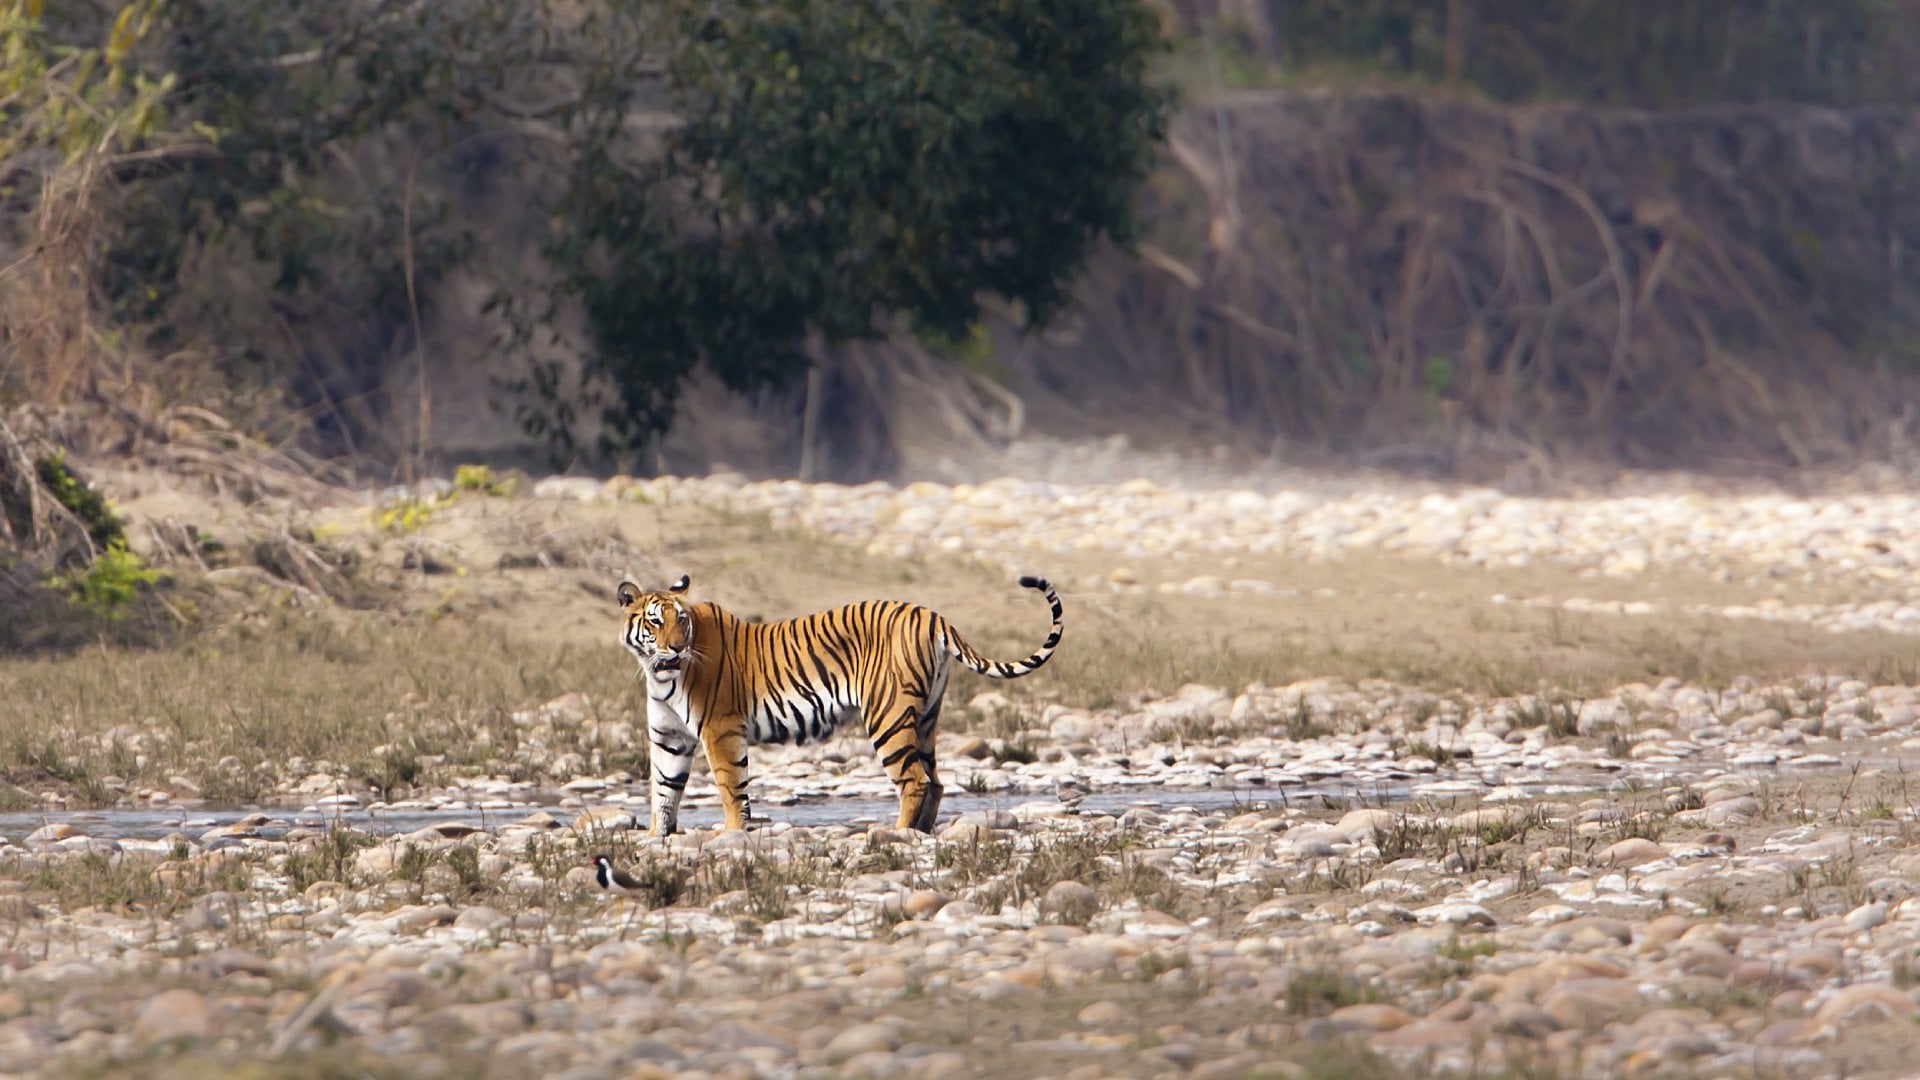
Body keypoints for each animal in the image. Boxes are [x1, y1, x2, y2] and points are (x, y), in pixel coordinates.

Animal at [617, 573, 1063, 834]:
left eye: (681, 620)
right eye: (656, 621)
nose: (677, 647)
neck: (659, 674)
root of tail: (931, 614)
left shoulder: (721, 729)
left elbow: (730, 787)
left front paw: (731, 836)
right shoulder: (670, 737)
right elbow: (663, 790)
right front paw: (657, 838)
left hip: (887, 716)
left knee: (914, 780)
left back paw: (897, 835)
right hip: (925, 718)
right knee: (934, 781)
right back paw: (918, 833)